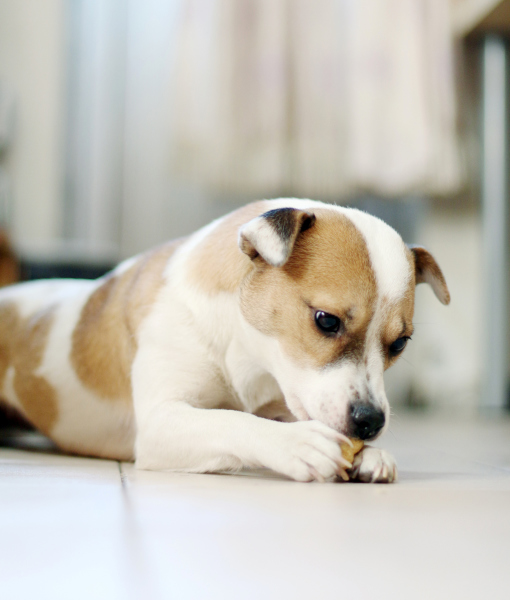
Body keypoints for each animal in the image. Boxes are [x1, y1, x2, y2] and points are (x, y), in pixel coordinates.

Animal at [0, 200, 450, 482]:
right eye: (326, 320)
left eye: (400, 344)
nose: (370, 422)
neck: (244, 354)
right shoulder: (161, 423)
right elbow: (230, 420)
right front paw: (295, 443)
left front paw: (370, 455)